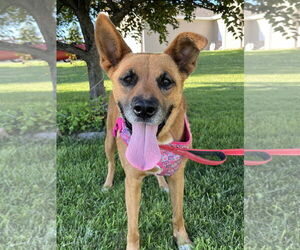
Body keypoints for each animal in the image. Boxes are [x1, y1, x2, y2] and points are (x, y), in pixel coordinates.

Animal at [95, 14, 207, 250]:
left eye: (166, 81)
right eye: (128, 79)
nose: (144, 109)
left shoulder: (178, 177)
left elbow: (178, 214)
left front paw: (182, 240)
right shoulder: (132, 182)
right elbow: (133, 228)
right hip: (108, 140)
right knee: (111, 163)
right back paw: (108, 184)